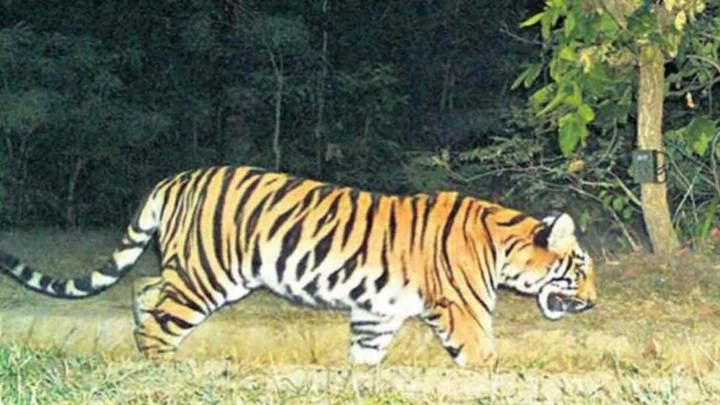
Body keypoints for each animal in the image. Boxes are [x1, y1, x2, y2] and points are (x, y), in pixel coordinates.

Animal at [0, 165, 596, 367]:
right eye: (581, 269)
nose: (593, 302)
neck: (504, 245)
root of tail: (175, 178)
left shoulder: (377, 310)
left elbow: (366, 354)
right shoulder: (462, 312)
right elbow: (484, 356)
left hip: (187, 271)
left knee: (144, 288)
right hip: (206, 276)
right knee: (161, 320)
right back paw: (161, 366)